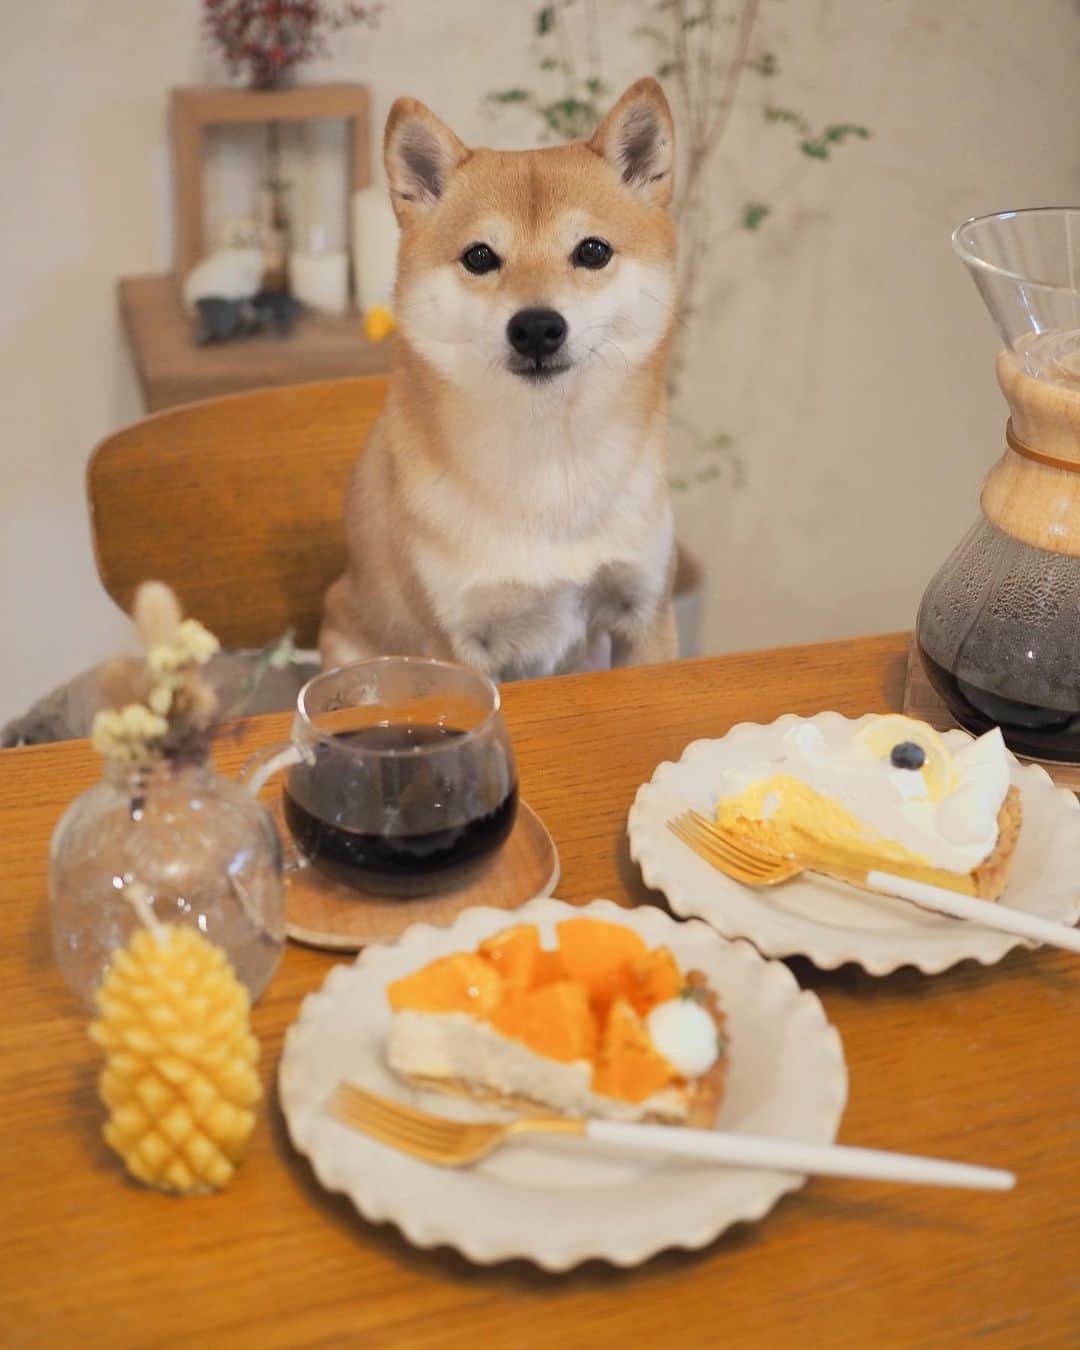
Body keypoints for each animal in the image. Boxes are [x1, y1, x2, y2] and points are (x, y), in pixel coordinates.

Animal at [315, 78, 680, 680]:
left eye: (593, 250)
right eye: (480, 256)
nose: (536, 327)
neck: (551, 464)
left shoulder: (644, 610)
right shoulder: (456, 642)